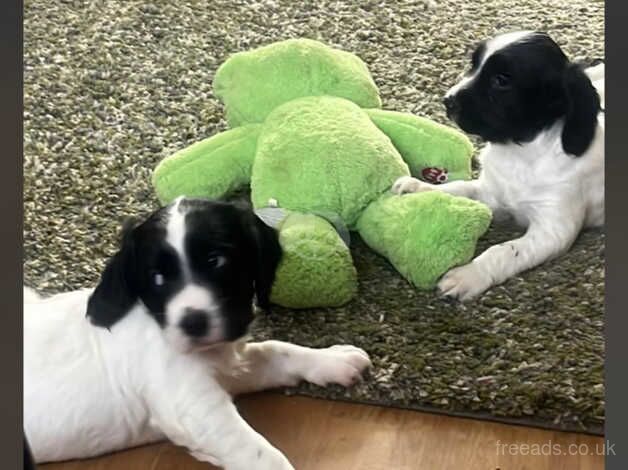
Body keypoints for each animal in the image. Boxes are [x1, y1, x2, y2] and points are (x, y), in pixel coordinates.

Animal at [24, 197, 370, 470]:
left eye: (216, 261)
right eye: (157, 278)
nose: (194, 322)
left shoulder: (231, 365)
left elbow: (276, 350)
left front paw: (331, 359)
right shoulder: (195, 408)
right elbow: (261, 455)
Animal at [392, 30, 604, 302]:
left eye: (502, 80)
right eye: (474, 65)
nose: (447, 100)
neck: (521, 153)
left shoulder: (553, 230)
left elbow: (503, 251)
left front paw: (469, 275)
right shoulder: (492, 192)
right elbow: (460, 188)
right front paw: (418, 188)